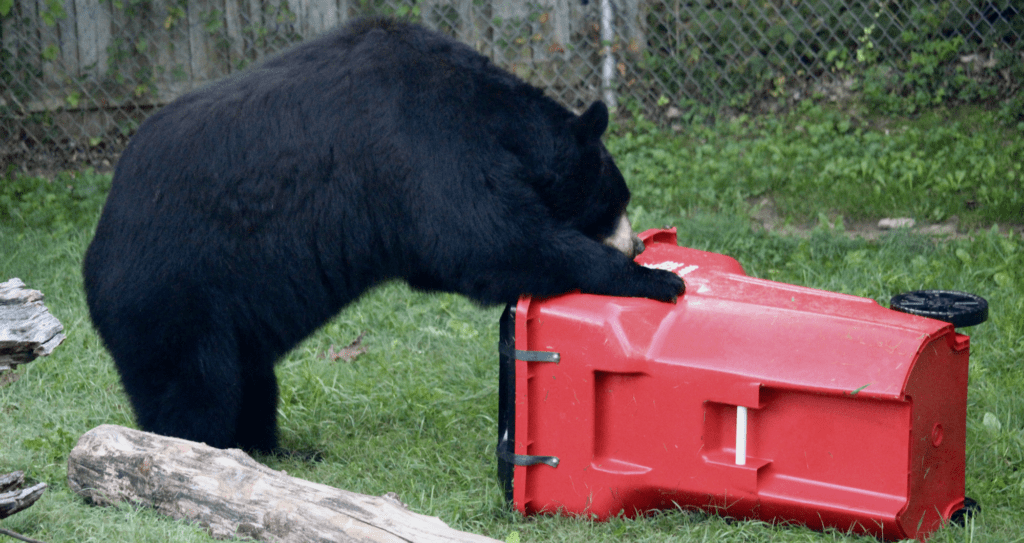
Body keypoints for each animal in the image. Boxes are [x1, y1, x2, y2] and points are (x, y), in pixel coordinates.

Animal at [83, 16, 684, 450]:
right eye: (617, 202)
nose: (636, 241)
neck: (491, 113)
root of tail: (94, 263)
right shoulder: (424, 144)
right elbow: (486, 239)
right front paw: (656, 278)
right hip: (176, 297)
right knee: (197, 390)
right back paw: (201, 453)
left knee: (251, 382)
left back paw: (275, 449)